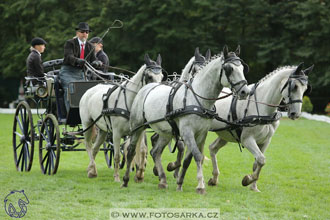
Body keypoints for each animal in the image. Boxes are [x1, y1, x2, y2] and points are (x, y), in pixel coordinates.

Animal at [123, 45, 250, 193]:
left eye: (242, 68)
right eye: (229, 69)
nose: (245, 91)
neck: (197, 99)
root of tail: (145, 88)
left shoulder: (201, 134)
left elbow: (189, 159)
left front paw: (179, 183)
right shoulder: (187, 132)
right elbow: (197, 155)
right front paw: (200, 185)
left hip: (165, 132)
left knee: (155, 152)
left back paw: (162, 180)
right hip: (137, 127)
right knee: (131, 151)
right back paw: (125, 180)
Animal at [208, 62, 314, 192]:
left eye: (305, 89)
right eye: (294, 86)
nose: (296, 114)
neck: (263, 108)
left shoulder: (265, 141)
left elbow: (257, 162)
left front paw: (253, 187)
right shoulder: (247, 139)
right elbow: (261, 159)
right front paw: (247, 179)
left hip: (225, 134)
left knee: (212, 148)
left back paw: (214, 179)